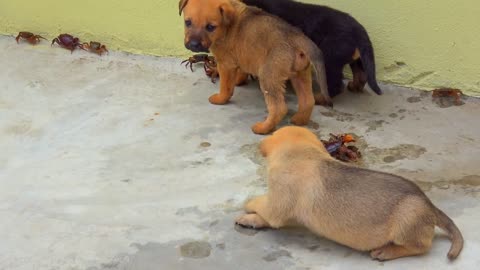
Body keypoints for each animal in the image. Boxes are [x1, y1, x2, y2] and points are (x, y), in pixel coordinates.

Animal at [178, 0, 332, 134]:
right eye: (188, 22)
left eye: (210, 27)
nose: (193, 45)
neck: (226, 27)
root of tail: (298, 38)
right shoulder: (241, 58)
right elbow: (240, 73)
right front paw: (238, 81)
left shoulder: (225, 64)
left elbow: (225, 87)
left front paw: (220, 99)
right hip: (301, 75)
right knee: (308, 101)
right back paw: (299, 121)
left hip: (269, 76)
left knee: (279, 108)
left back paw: (263, 128)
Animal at [237, 126, 464, 262]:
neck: (302, 152)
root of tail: (430, 206)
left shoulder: (275, 205)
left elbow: (261, 207)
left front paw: (247, 211)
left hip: (408, 219)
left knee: (421, 246)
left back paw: (386, 251)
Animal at [244, 0, 382, 100]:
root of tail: (359, 30)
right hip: (357, 58)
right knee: (361, 74)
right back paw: (354, 86)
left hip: (329, 57)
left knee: (334, 85)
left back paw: (318, 99)